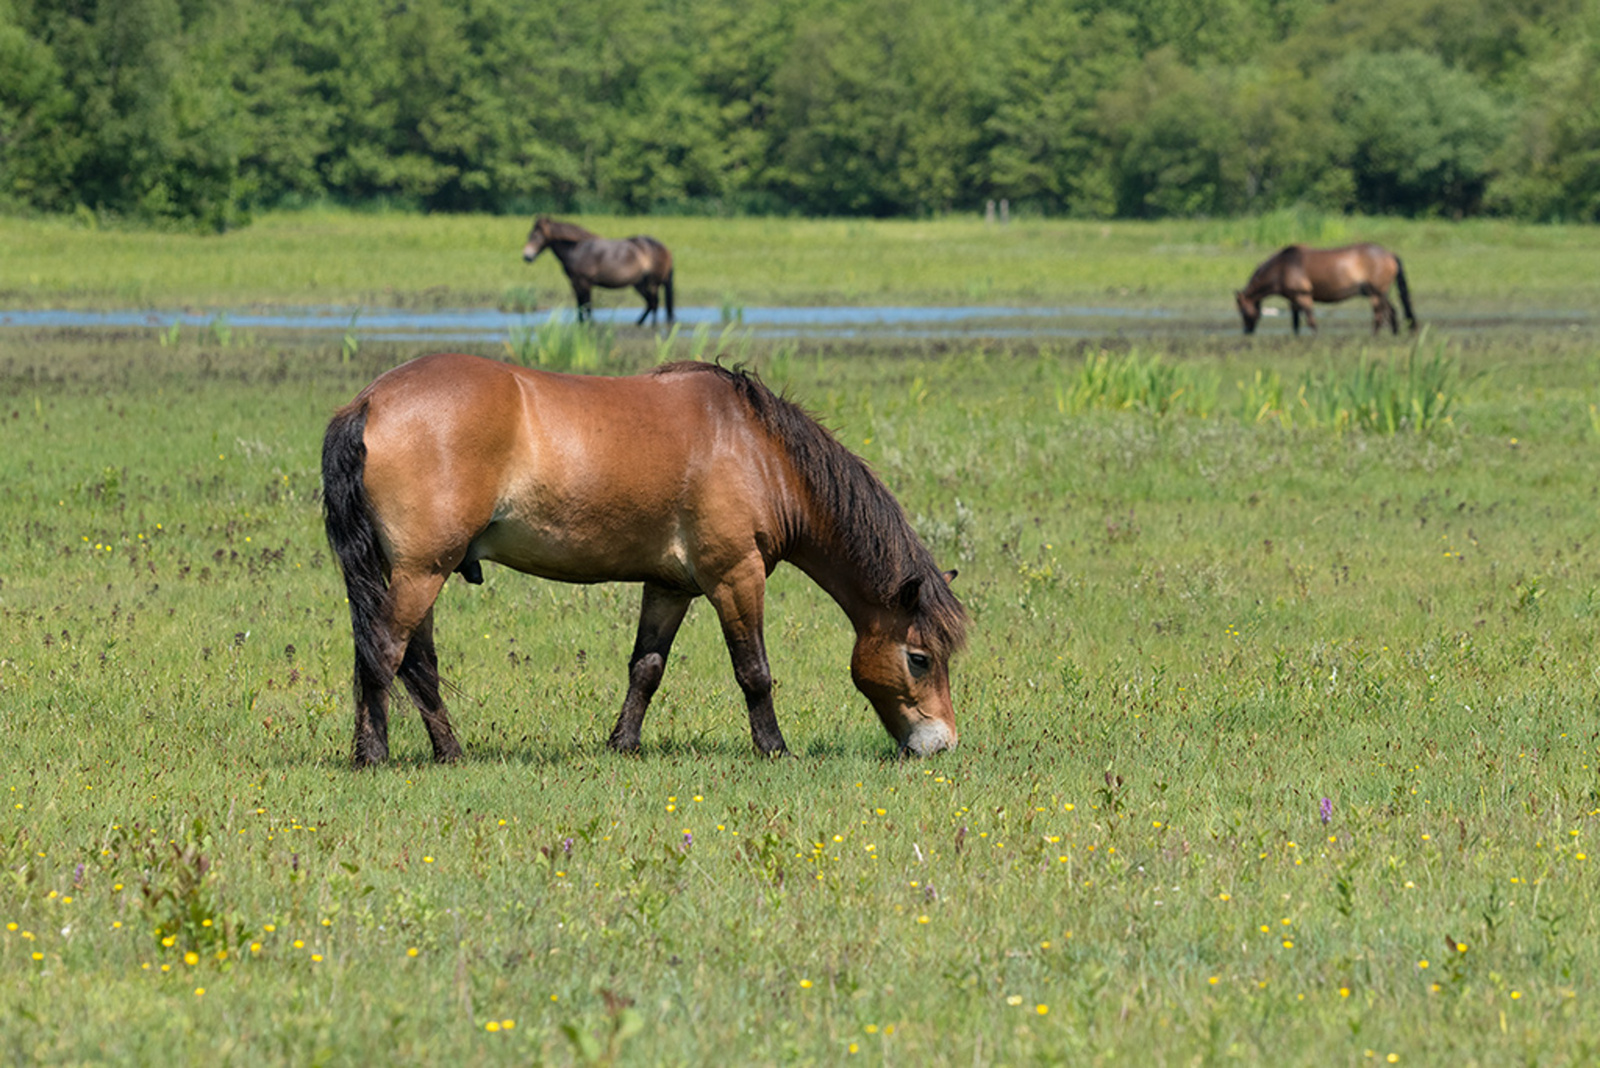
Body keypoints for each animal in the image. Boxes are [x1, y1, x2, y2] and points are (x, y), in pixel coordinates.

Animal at [318, 354, 953, 764]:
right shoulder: (735, 576)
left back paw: (450, 752)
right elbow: (754, 672)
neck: (756, 450)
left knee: (417, 663)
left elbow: (646, 668)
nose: (942, 743)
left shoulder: (669, 586)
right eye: (920, 659)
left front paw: (623, 744)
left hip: (417, 572)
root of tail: (368, 401)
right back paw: (372, 755)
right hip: (421, 572)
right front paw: (775, 749)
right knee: (384, 652)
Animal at [524, 215, 675, 326]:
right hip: (639, 285)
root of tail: (664, 248)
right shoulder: (575, 283)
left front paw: (590, 324)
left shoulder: (585, 283)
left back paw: (652, 325)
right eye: (529, 235)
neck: (577, 249)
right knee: (650, 303)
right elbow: (580, 305)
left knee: (654, 303)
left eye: (537, 236)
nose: (526, 256)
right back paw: (638, 323)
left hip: (652, 283)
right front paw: (581, 324)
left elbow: (587, 305)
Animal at [1228, 244, 1420, 335]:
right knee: (1392, 312)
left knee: (1380, 316)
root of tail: (1390, 255)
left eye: (1242, 311)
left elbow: (1311, 321)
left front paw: (1316, 337)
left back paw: (1373, 336)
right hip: (1380, 293)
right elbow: (1295, 322)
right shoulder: (1294, 300)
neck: (1282, 267)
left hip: (1376, 294)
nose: (1246, 331)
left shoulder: (1303, 297)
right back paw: (1394, 334)